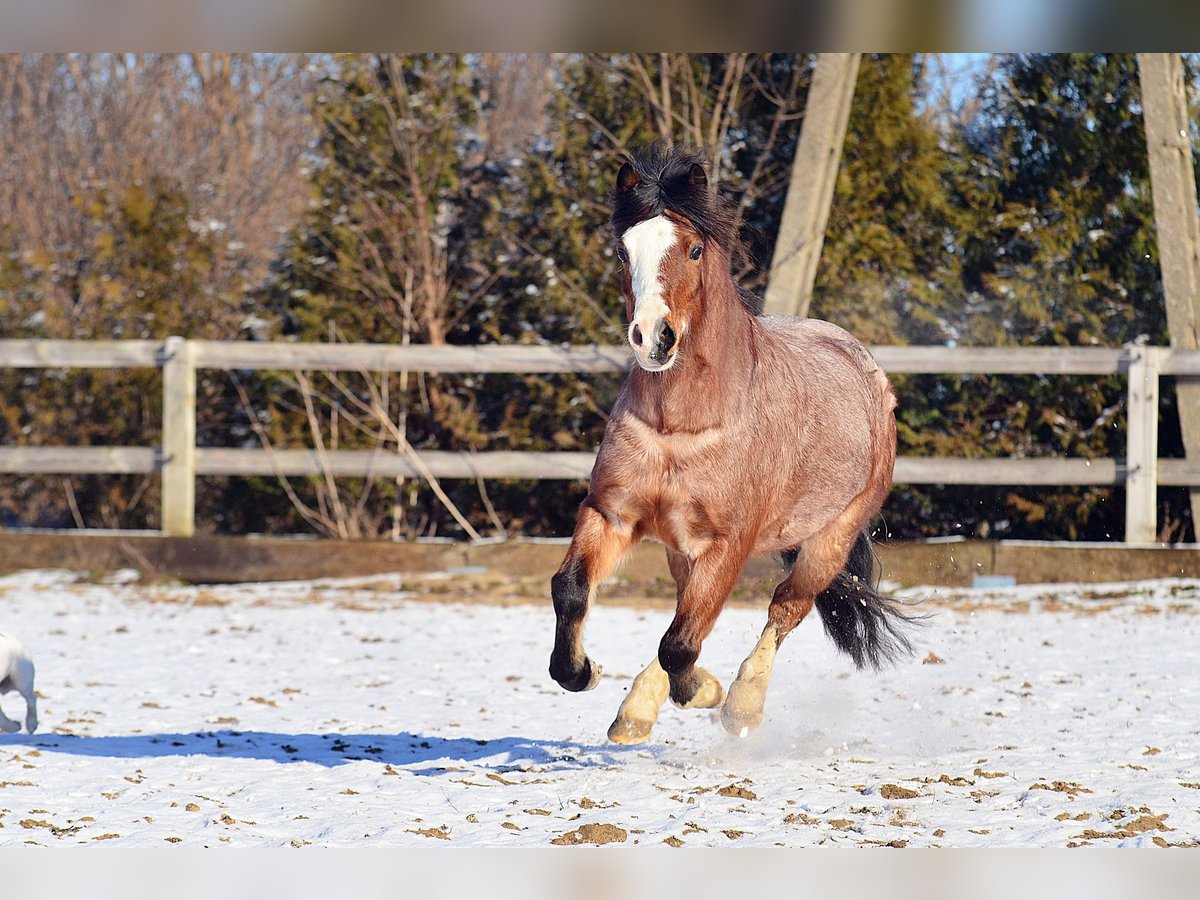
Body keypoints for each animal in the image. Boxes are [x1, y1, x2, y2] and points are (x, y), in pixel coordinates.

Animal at [549, 142, 912, 748]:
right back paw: (635, 714)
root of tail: (867, 370)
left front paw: (708, 694)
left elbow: (680, 644)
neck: (681, 427)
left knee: (782, 610)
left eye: (694, 249)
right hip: (681, 548)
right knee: (687, 613)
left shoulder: (729, 543)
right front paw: (586, 671)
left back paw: (741, 704)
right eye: (624, 252)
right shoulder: (613, 514)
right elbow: (573, 590)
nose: (653, 338)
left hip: (827, 542)